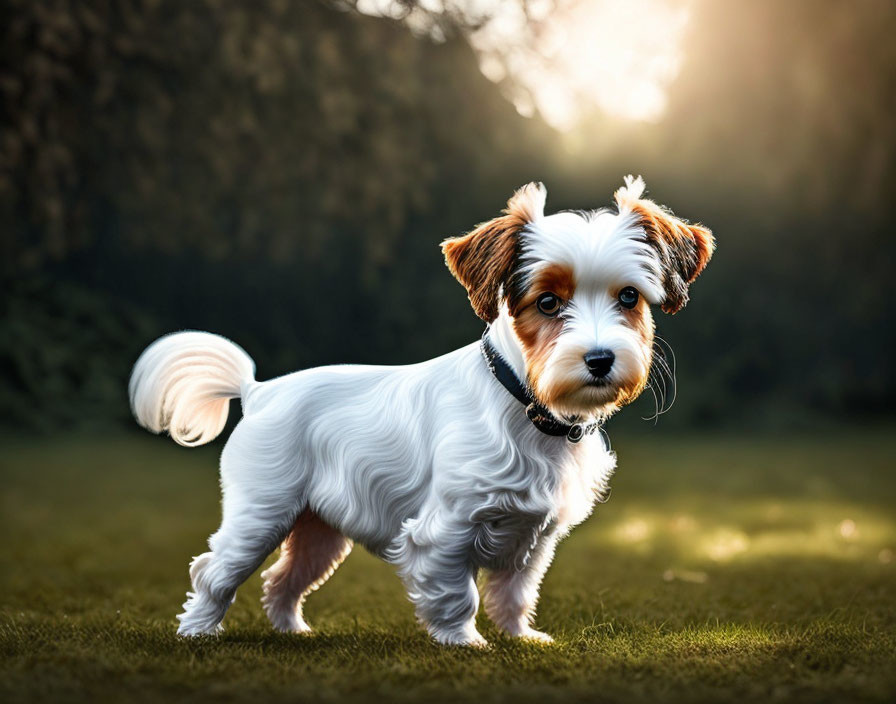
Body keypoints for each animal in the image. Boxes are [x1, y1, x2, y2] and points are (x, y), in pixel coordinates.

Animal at [128, 175, 712, 644]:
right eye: (547, 302)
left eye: (629, 297)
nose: (599, 359)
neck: (525, 409)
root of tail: (259, 390)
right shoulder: (444, 531)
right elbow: (458, 593)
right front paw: (463, 642)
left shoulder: (532, 539)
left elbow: (515, 594)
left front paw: (519, 638)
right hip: (261, 513)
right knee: (214, 570)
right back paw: (198, 632)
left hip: (318, 530)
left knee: (283, 580)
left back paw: (292, 631)